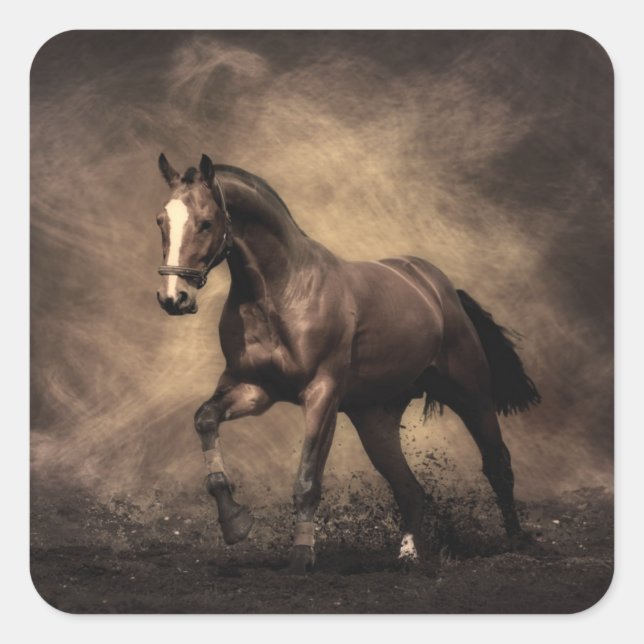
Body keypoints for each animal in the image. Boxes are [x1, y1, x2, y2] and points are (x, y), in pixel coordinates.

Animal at [154, 153, 541, 574]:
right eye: (161, 221)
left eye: (207, 222)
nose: (173, 297)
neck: (280, 292)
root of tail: (439, 289)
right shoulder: (254, 389)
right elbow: (205, 420)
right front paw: (235, 523)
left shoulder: (322, 395)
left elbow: (307, 479)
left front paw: (301, 557)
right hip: (374, 419)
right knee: (409, 488)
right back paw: (408, 555)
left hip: (471, 394)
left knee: (497, 464)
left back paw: (516, 541)